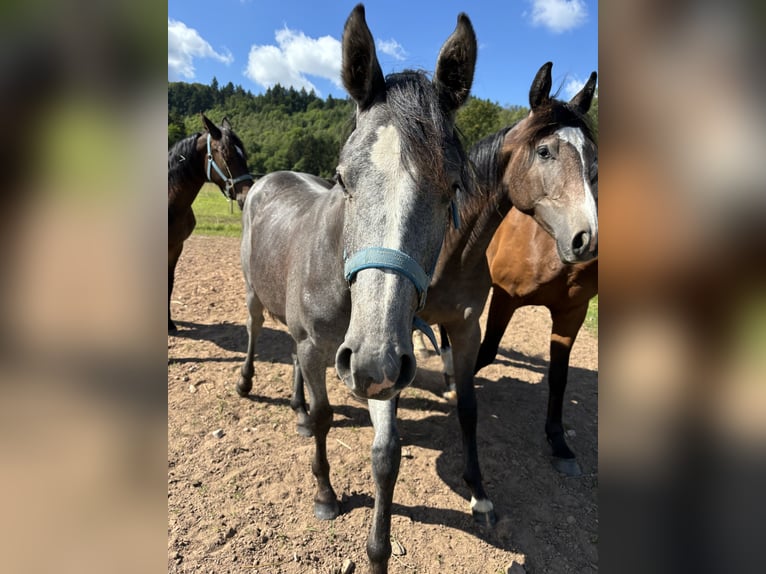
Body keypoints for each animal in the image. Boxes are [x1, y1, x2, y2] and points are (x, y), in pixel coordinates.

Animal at [167, 115, 252, 332]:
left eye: (244, 154)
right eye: (226, 154)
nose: (246, 195)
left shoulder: (175, 247)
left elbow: (169, 282)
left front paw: (169, 323)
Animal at [240, 3, 476, 572]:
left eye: (452, 188)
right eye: (343, 178)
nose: (370, 361)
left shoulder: (385, 363)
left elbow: (386, 454)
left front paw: (377, 552)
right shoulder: (326, 349)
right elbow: (328, 415)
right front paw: (325, 495)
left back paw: (297, 411)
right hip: (256, 295)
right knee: (257, 331)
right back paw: (249, 382)